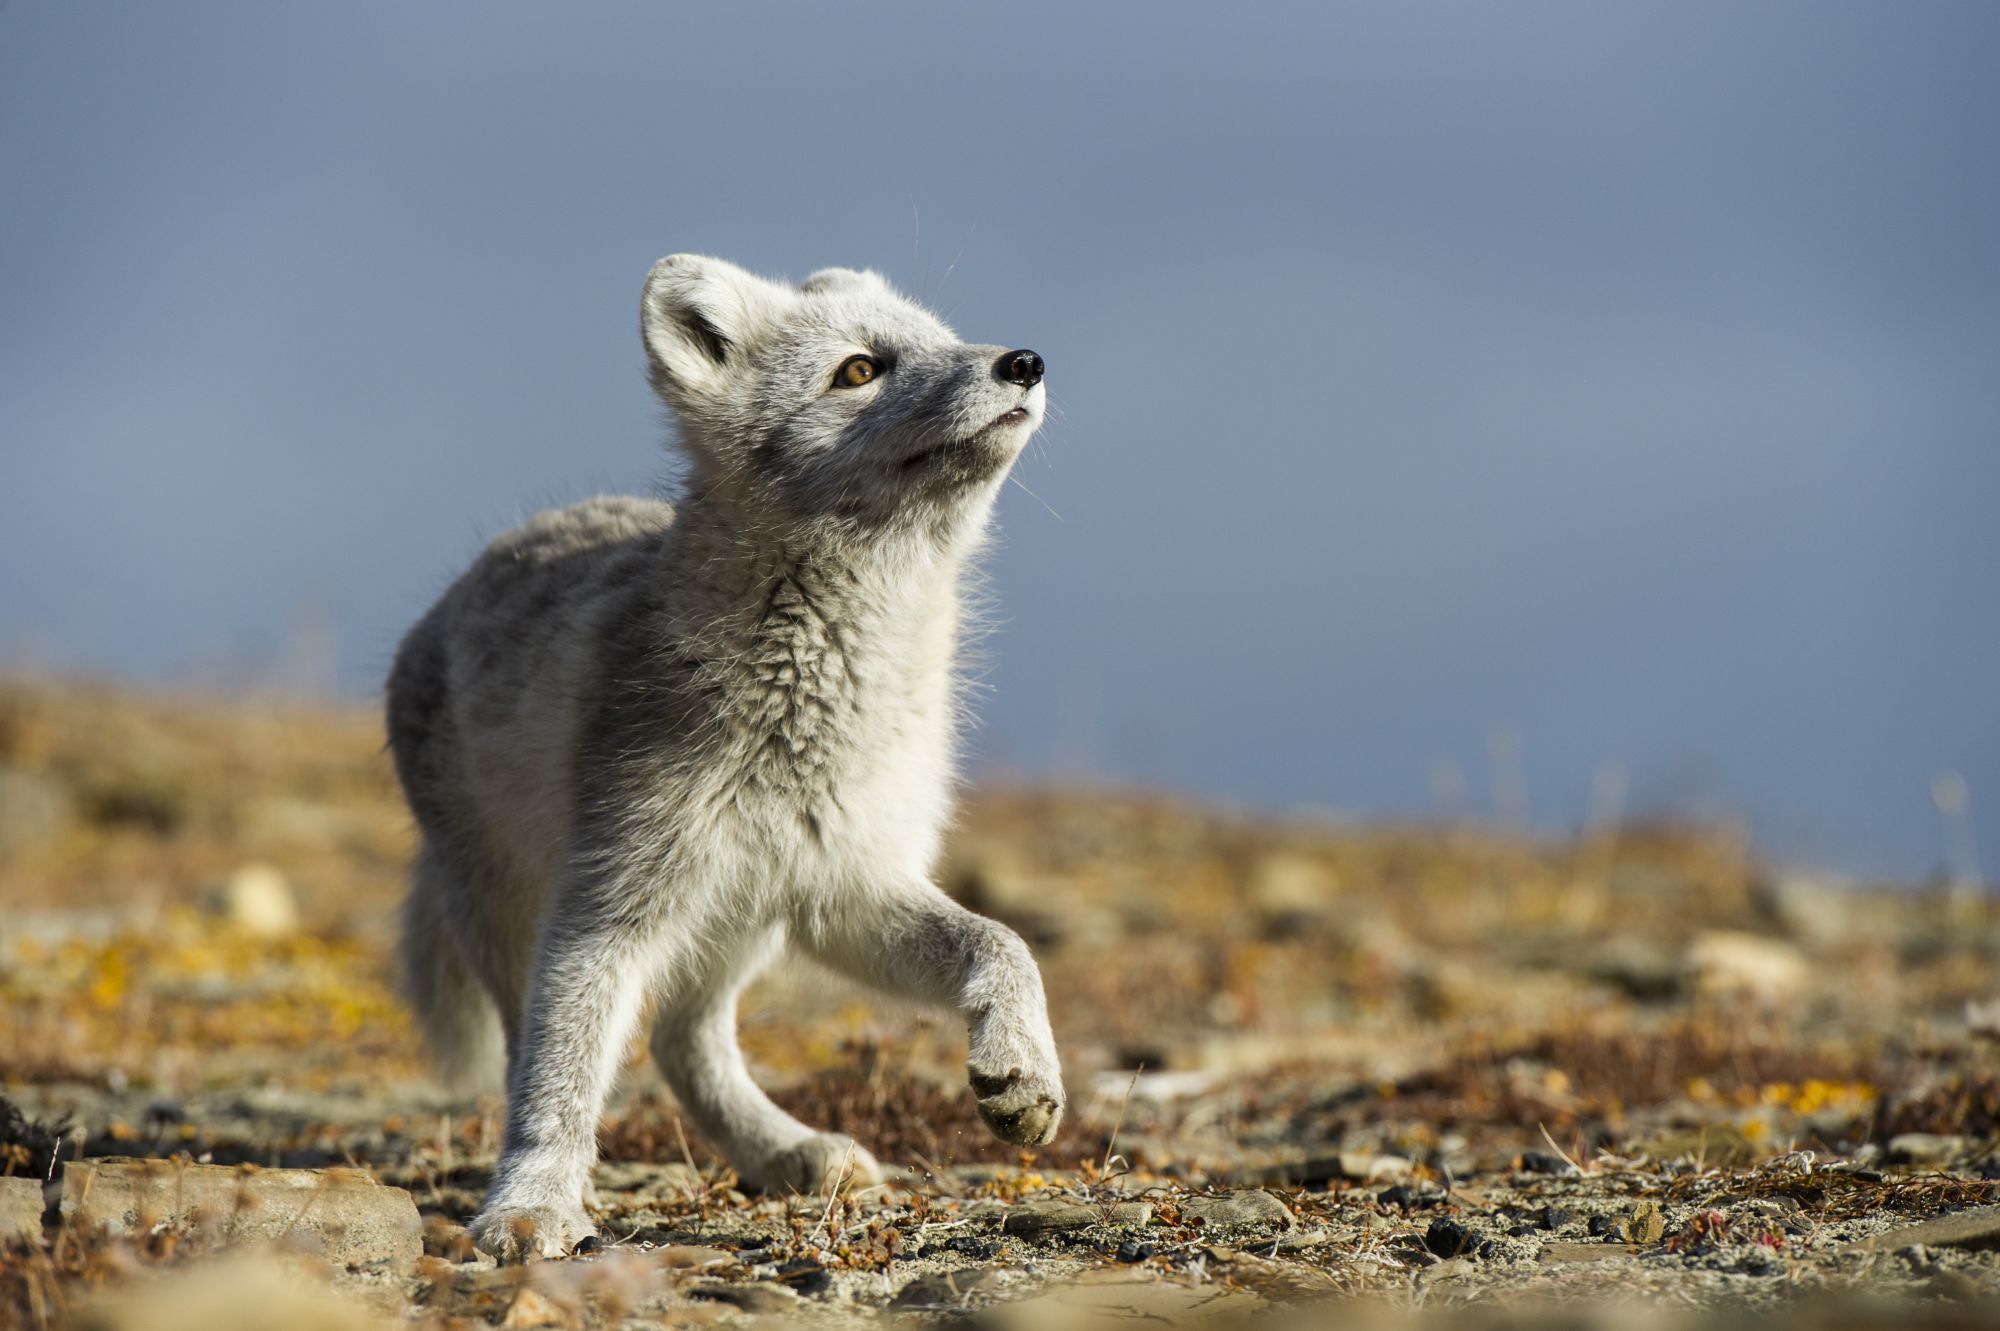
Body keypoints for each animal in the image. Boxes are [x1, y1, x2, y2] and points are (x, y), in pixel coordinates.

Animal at [385, 255, 1064, 1261]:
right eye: (859, 370)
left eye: (946, 339)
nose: (1023, 361)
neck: (820, 702)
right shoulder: (605, 905)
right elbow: (555, 1081)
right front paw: (532, 1202)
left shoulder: (844, 886)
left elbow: (1004, 942)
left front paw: (1023, 1068)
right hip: (527, 914)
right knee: (538, 1053)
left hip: (746, 918)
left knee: (683, 1039)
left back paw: (786, 1150)